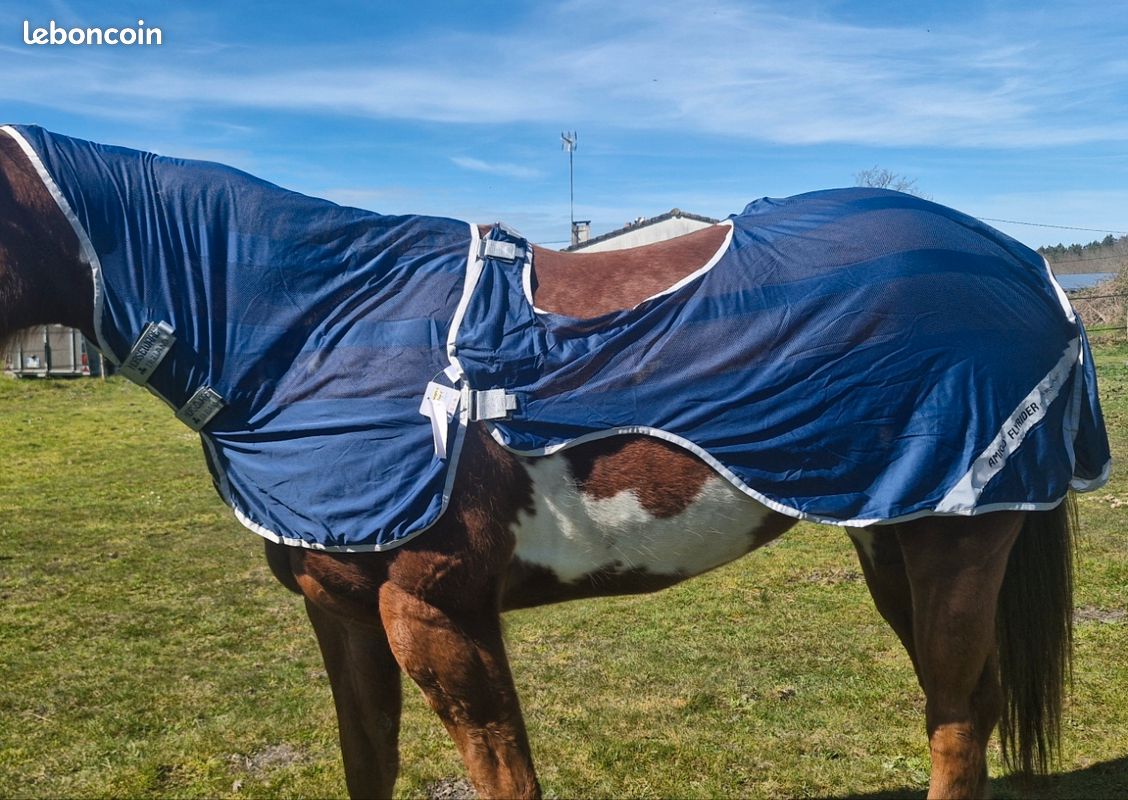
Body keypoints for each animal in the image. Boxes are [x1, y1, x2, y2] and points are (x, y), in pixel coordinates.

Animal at [0, 125, 1103, 800]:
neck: (317, 328)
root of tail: (1023, 266)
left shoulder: (436, 610)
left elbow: (505, 777)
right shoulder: (341, 611)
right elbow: (369, 764)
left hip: (958, 541)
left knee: (959, 711)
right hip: (891, 540)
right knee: (959, 703)